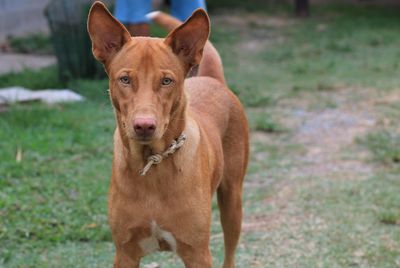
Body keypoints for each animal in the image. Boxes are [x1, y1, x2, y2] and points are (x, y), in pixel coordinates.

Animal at [87, 1, 248, 266]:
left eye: (166, 81)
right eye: (124, 79)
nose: (144, 125)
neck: (152, 164)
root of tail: (211, 78)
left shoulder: (197, 253)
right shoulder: (124, 252)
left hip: (232, 202)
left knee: (230, 254)